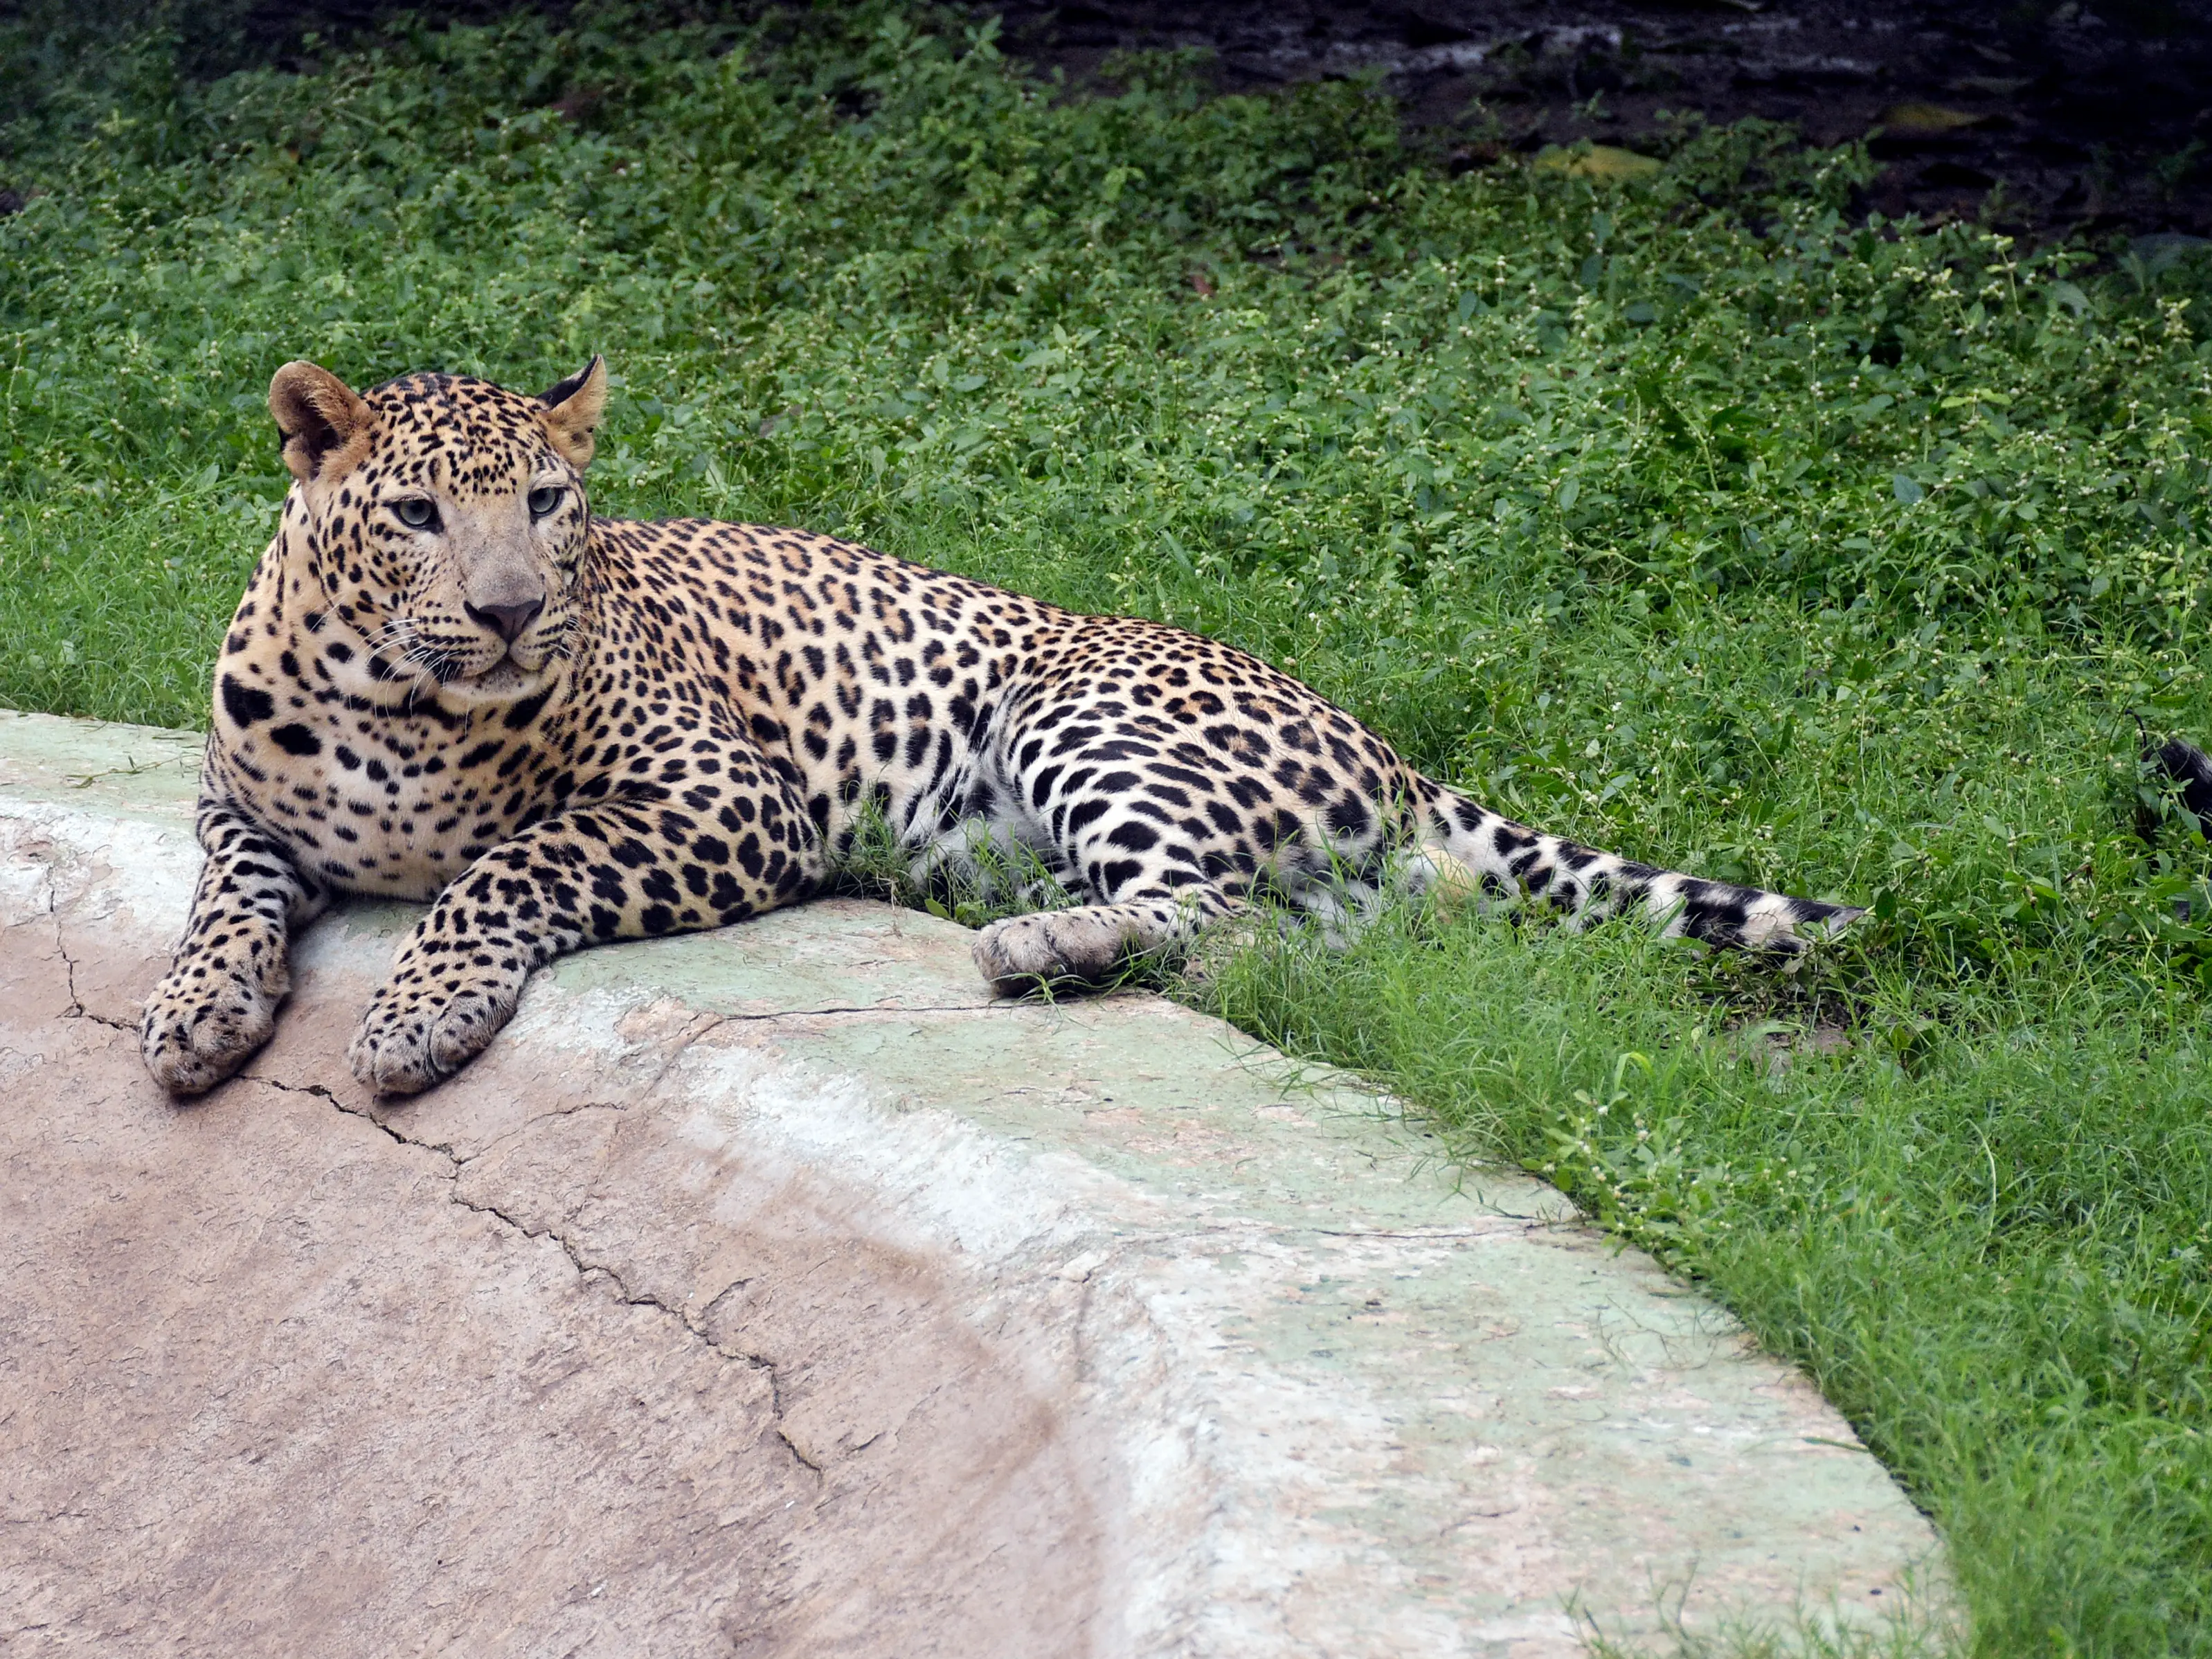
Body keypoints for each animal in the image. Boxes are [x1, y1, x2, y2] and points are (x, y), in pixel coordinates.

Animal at [139, 357, 1863, 1099]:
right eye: (418, 514)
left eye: (549, 505)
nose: (507, 613)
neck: (394, 699)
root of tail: (1386, 744)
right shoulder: (240, 809)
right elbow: (225, 895)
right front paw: (194, 1013)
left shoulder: (722, 800)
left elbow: (502, 869)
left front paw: (414, 1017)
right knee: (1327, 940)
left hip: (1073, 708)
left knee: (1222, 912)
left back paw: (1044, 948)